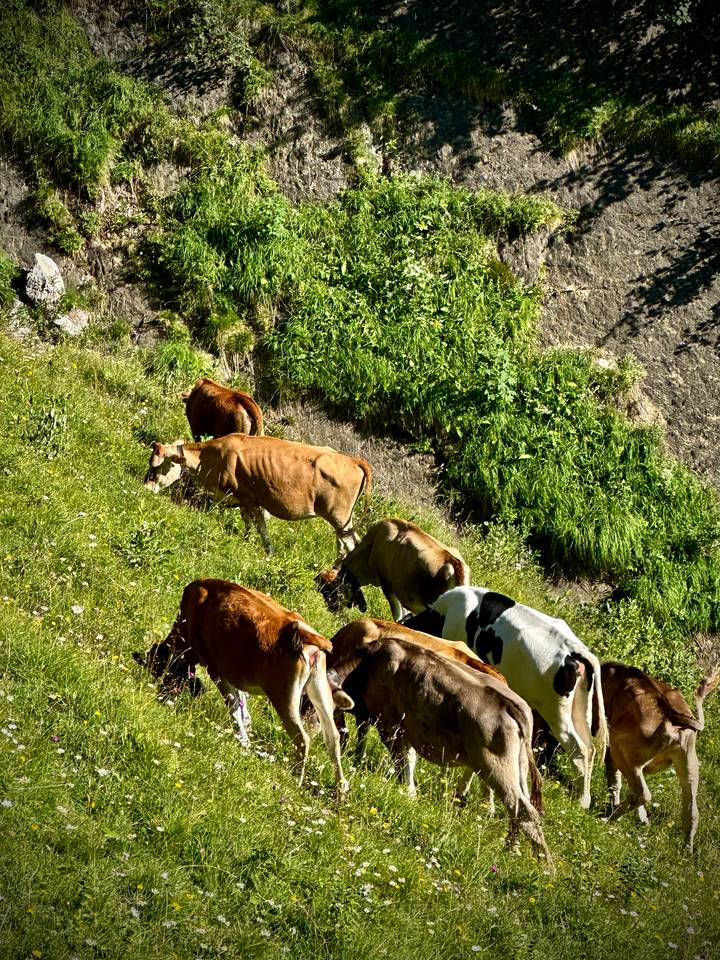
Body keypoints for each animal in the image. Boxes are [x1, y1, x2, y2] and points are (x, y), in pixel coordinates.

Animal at [132, 579, 353, 795]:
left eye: (158, 671)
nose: (161, 695)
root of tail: (304, 633)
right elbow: (241, 704)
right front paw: (245, 732)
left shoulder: (216, 668)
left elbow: (234, 706)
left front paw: (243, 740)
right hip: (320, 688)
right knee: (332, 736)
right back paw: (340, 790)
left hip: (283, 695)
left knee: (302, 738)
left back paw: (295, 779)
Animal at [143, 434, 372, 556]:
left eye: (157, 466)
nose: (145, 488)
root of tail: (354, 460)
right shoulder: (244, 500)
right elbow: (249, 522)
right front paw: (246, 541)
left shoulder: (247, 497)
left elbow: (260, 525)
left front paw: (268, 552)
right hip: (345, 519)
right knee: (350, 543)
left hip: (337, 516)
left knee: (348, 544)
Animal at [327, 633, 553, 865]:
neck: (369, 662)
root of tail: (512, 703)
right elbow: (399, 756)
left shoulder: (390, 726)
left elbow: (402, 763)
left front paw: (406, 793)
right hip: (519, 767)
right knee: (521, 809)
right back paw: (513, 849)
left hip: (497, 766)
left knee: (523, 811)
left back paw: (544, 865)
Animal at [403, 586, 607, 809]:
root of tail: (575, 650)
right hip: (580, 710)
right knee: (590, 749)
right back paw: (584, 798)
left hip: (556, 713)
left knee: (579, 750)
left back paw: (581, 801)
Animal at [600, 662, 719, 851]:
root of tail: (673, 716)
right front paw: (643, 820)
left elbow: (614, 781)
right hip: (689, 765)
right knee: (692, 811)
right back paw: (687, 849)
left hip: (622, 751)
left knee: (641, 793)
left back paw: (609, 819)